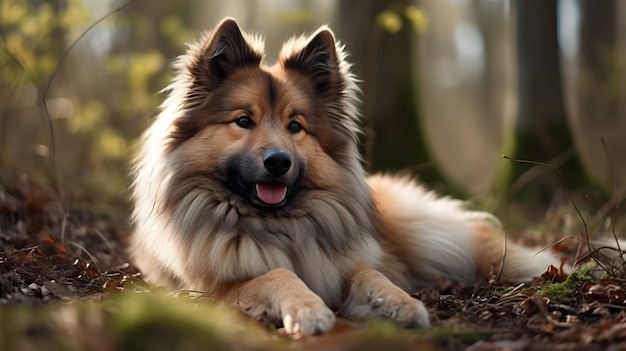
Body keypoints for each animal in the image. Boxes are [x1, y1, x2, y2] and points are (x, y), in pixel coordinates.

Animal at [129, 17, 560, 336]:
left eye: (296, 126)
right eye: (244, 121)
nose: (278, 162)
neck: (279, 227)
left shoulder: (345, 265)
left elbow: (372, 273)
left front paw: (401, 303)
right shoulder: (216, 290)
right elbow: (279, 274)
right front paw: (308, 310)